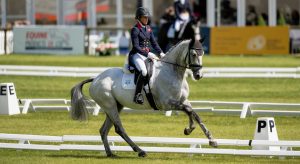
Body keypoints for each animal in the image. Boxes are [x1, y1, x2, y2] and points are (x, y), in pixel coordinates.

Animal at [71, 38, 218, 158]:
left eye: (202, 53)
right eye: (193, 54)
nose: (198, 75)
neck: (172, 72)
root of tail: (96, 78)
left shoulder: (183, 101)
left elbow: (194, 114)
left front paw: (210, 139)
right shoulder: (167, 104)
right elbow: (189, 111)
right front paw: (190, 129)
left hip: (116, 106)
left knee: (103, 130)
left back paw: (110, 153)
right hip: (110, 106)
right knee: (119, 128)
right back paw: (140, 151)